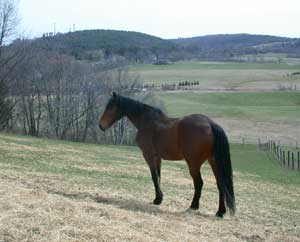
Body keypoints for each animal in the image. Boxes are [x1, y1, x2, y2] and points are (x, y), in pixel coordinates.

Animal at [99, 92, 236, 217]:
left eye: (110, 107)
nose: (100, 125)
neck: (147, 121)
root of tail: (211, 124)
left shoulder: (148, 155)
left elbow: (154, 177)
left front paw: (157, 200)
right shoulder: (158, 157)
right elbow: (159, 176)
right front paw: (159, 198)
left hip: (194, 163)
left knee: (199, 183)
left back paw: (193, 206)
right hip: (214, 161)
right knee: (221, 184)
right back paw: (220, 212)